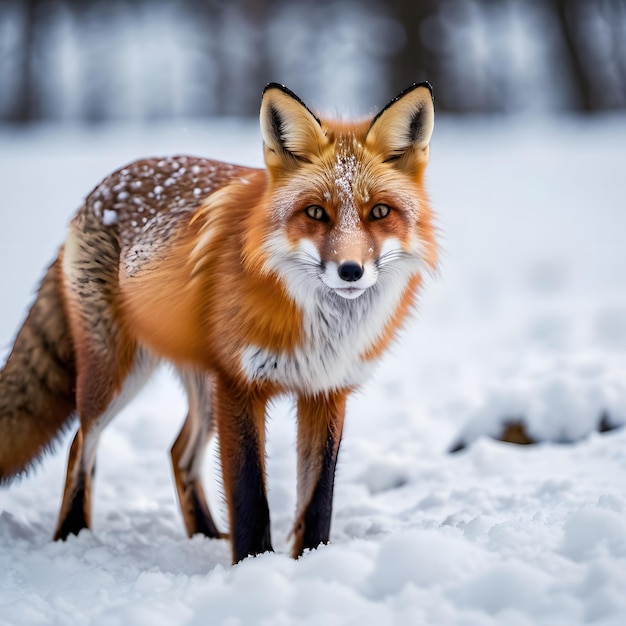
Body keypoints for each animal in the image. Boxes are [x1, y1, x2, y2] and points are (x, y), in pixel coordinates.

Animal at [1, 81, 434, 560]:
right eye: (316, 213)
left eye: (379, 212)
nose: (351, 271)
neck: (322, 328)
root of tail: (97, 190)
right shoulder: (239, 385)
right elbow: (249, 498)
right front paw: (252, 566)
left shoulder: (325, 391)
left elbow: (318, 501)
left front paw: (311, 561)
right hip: (117, 376)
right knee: (81, 445)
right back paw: (71, 536)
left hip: (201, 389)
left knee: (178, 454)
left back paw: (204, 536)